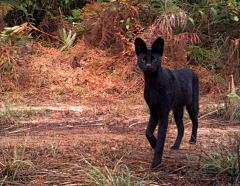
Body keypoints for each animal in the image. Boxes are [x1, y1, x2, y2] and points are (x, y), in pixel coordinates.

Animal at [135, 36, 199, 169]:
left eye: (154, 59)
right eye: (143, 59)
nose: (148, 65)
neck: (153, 84)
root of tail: (192, 71)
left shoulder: (163, 112)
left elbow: (161, 138)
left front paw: (156, 162)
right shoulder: (154, 110)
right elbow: (148, 132)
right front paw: (153, 144)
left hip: (192, 105)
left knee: (195, 121)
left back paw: (193, 140)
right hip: (177, 110)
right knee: (182, 127)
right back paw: (176, 145)